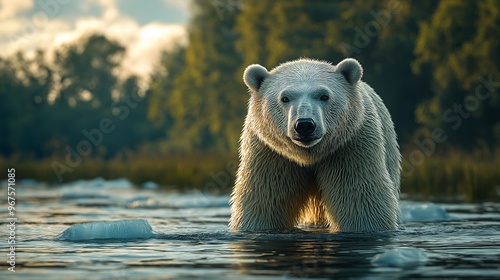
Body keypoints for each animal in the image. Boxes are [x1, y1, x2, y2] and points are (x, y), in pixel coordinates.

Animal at [229, 57, 400, 232]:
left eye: (324, 96)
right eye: (285, 98)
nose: (304, 125)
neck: (309, 155)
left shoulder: (349, 147)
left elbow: (360, 201)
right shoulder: (270, 153)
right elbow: (263, 201)